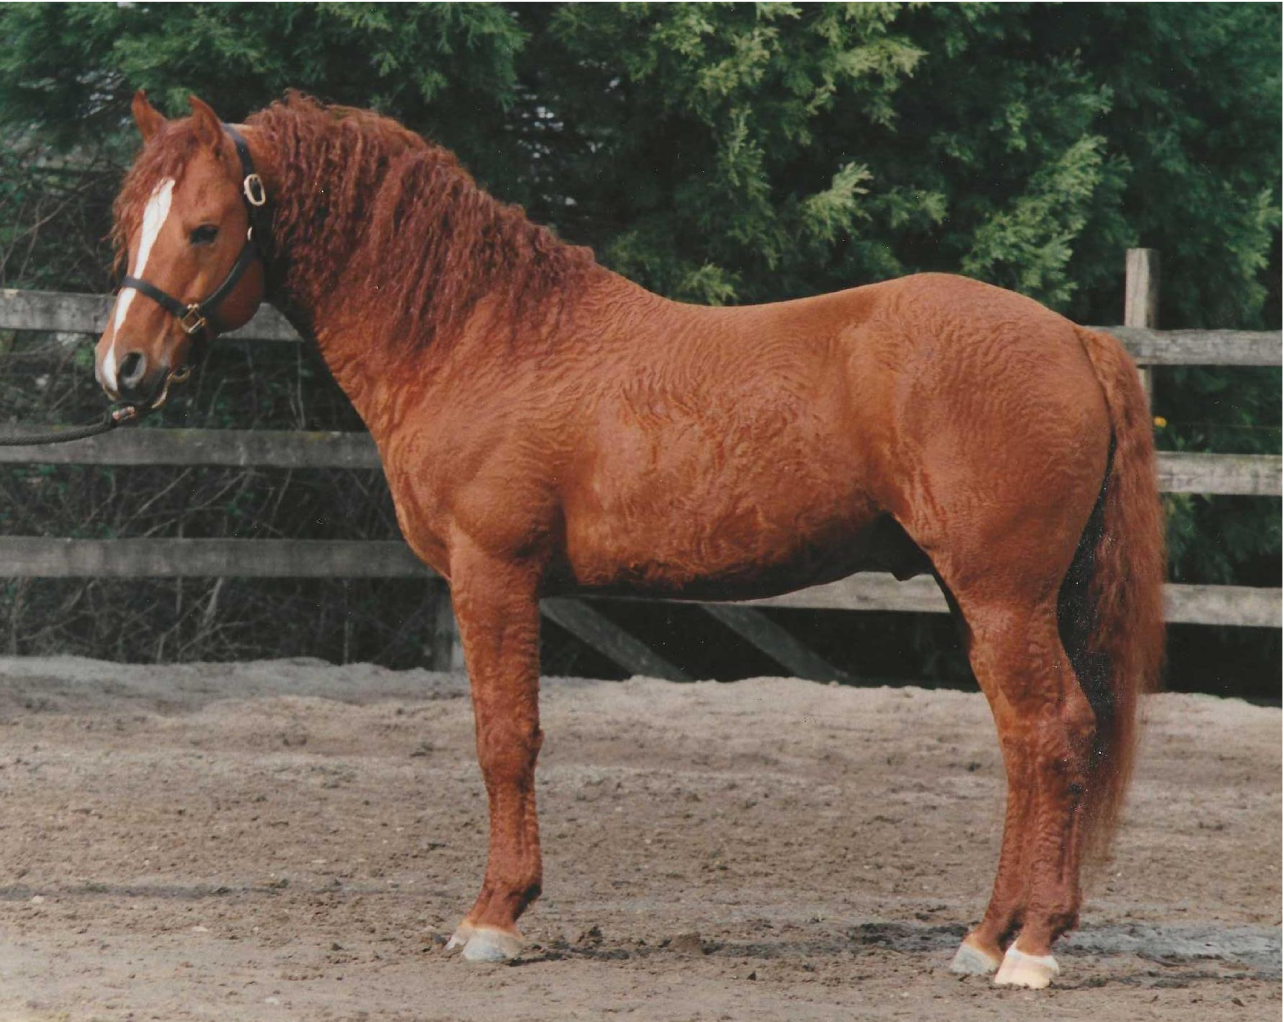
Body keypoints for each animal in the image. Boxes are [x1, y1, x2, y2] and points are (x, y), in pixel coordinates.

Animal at [95, 90, 1165, 988]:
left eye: (204, 227)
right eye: (127, 221)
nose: (122, 368)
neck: (479, 335)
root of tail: (1075, 338)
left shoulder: (494, 574)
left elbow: (506, 740)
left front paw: (494, 919)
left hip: (1001, 593)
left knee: (1056, 733)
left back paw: (1030, 950)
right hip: (978, 596)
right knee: (1024, 743)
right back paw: (985, 936)